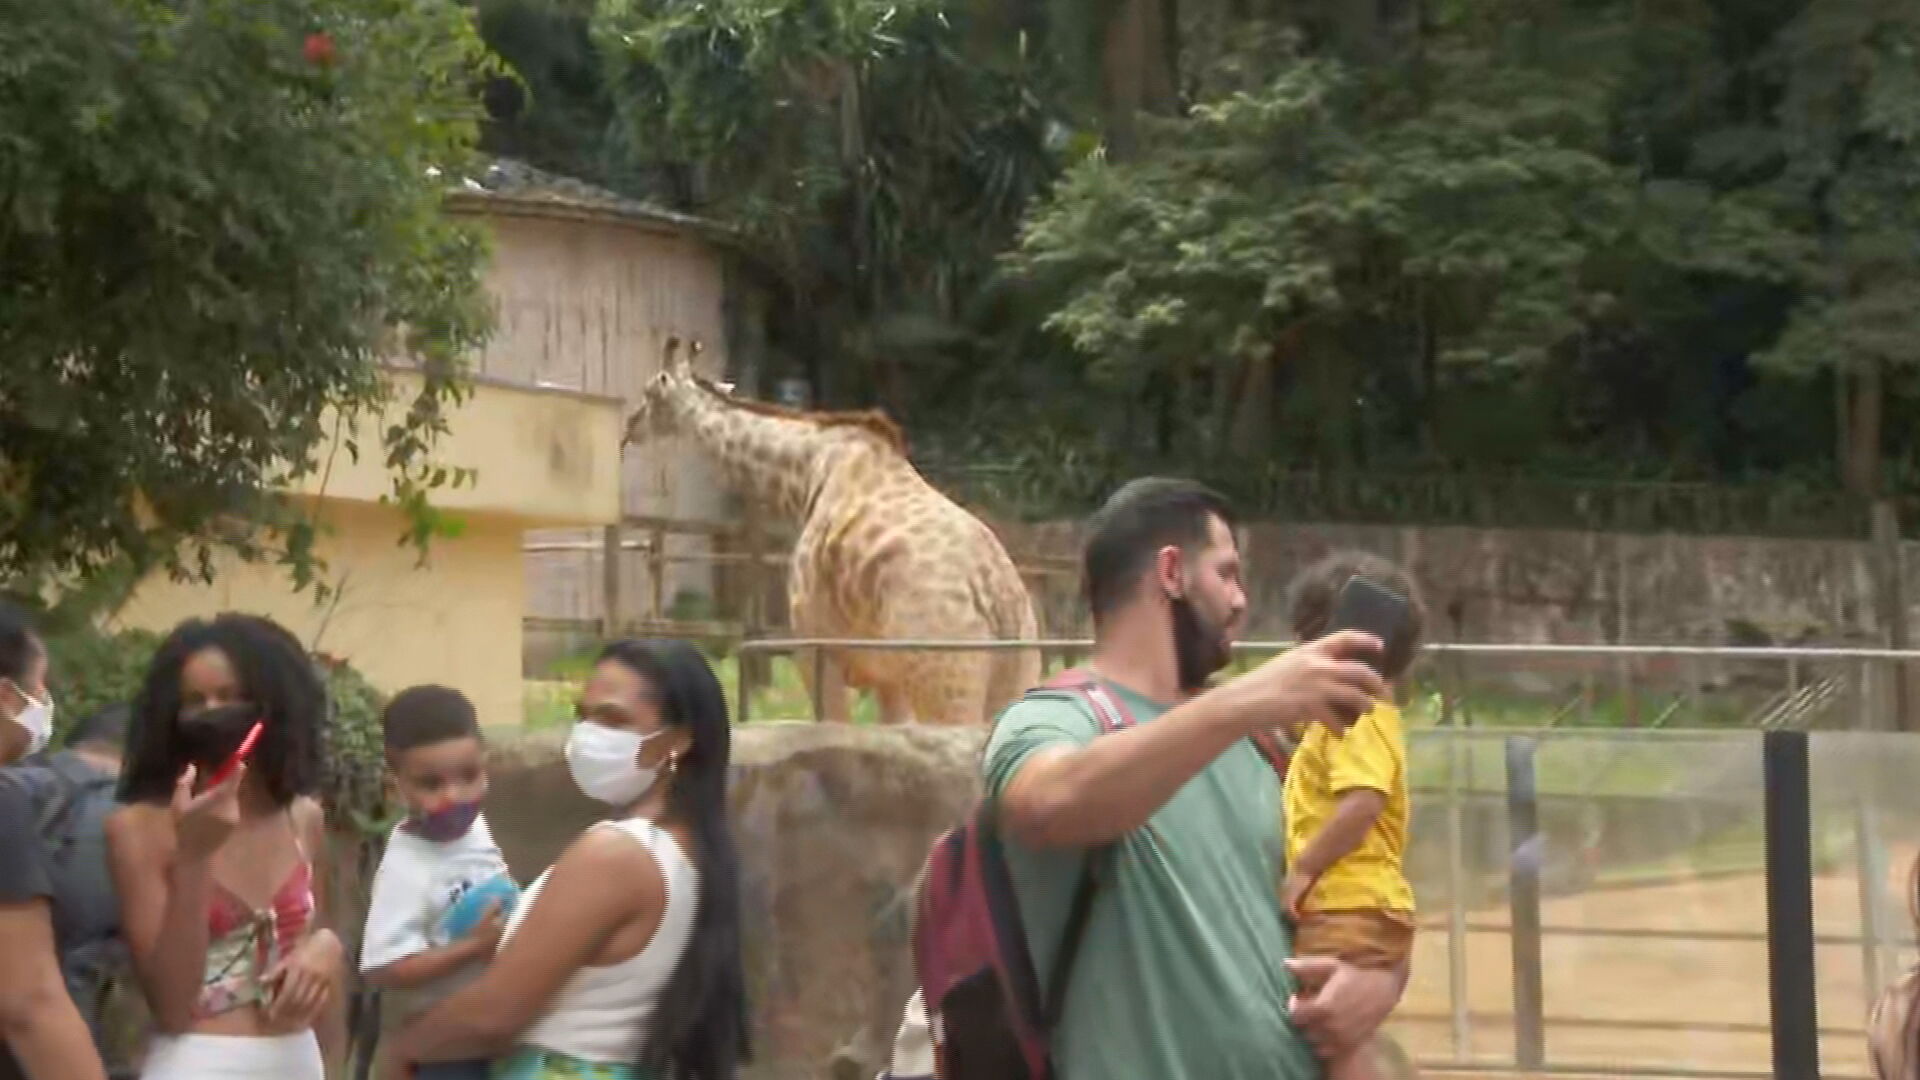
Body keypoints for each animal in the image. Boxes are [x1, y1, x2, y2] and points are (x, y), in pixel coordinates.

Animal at [622, 336, 1044, 722]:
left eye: (649, 392)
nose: (628, 429)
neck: (805, 473)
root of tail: (1000, 601)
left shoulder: (813, 649)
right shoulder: (887, 679)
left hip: (944, 681)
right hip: (1016, 676)